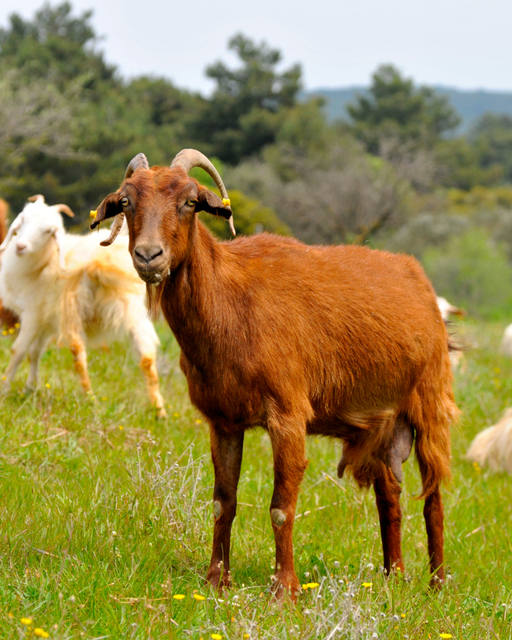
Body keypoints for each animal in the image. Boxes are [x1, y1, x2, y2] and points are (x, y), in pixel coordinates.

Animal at [0, 195, 166, 417]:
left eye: (48, 231)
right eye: (23, 220)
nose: (20, 247)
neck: (45, 261)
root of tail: (98, 261)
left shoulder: (33, 315)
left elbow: (18, 351)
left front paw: (5, 389)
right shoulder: (46, 319)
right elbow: (35, 352)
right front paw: (30, 389)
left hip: (72, 310)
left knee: (78, 354)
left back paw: (90, 399)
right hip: (133, 311)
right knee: (146, 359)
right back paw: (159, 411)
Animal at [92, 150, 458, 598]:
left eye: (190, 202)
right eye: (126, 202)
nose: (148, 256)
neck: (231, 304)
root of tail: (419, 279)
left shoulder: (288, 414)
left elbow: (281, 507)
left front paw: (285, 590)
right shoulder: (223, 421)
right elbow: (223, 502)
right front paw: (216, 580)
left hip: (431, 403)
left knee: (433, 496)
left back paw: (436, 583)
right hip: (385, 424)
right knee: (390, 497)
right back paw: (393, 577)